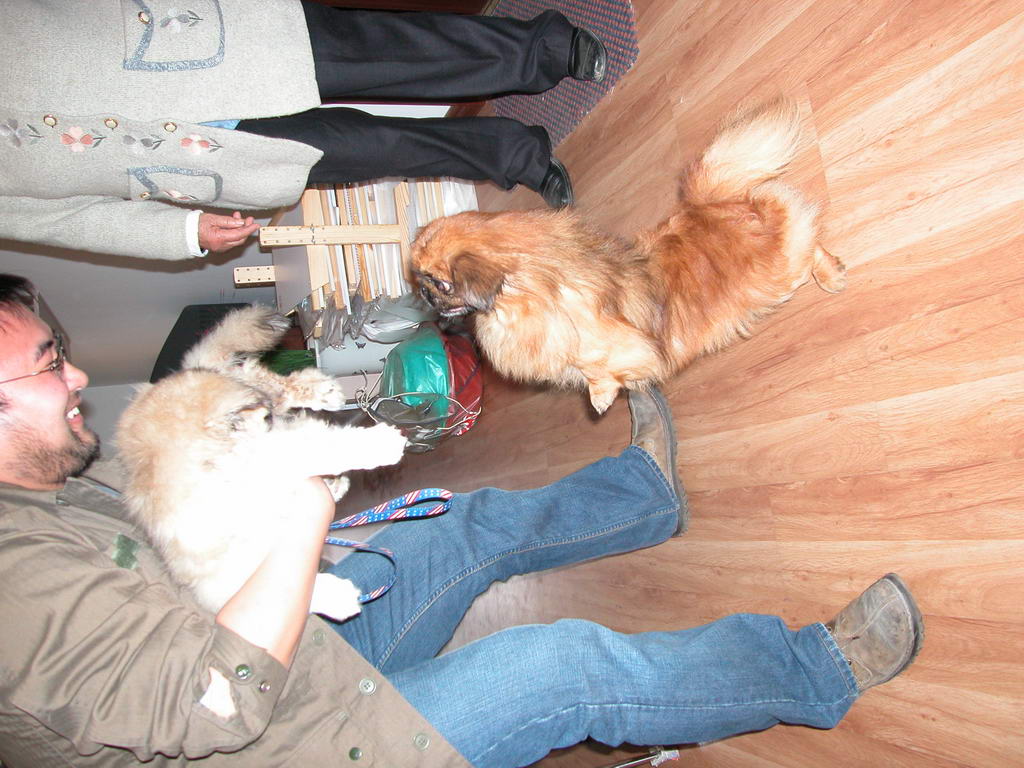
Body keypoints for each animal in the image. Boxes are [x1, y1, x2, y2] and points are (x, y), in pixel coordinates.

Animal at [115, 305, 407, 621]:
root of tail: (191, 369)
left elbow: (321, 449)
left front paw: (378, 445)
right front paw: (336, 598)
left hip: (247, 388)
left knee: (272, 383)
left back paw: (325, 392)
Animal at [412, 101, 847, 413]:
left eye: (440, 284)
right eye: (424, 282)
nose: (426, 297)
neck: (529, 295)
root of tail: (713, 206)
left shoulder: (607, 344)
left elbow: (598, 364)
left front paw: (601, 396)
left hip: (780, 272)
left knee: (806, 239)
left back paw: (832, 276)